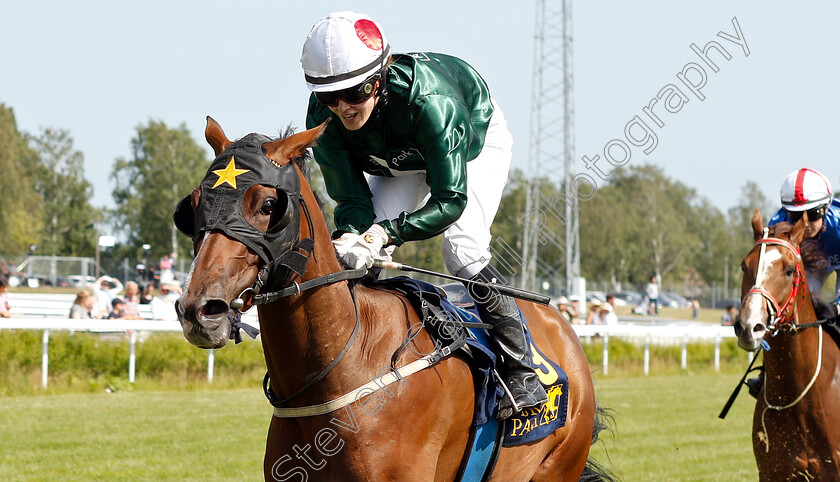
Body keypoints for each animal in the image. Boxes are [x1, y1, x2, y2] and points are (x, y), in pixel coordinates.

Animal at [174, 117, 608, 482]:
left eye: (267, 205)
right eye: (192, 206)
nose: (199, 310)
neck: (343, 367)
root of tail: (562, 327)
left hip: (559, 466)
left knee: (466, 252)